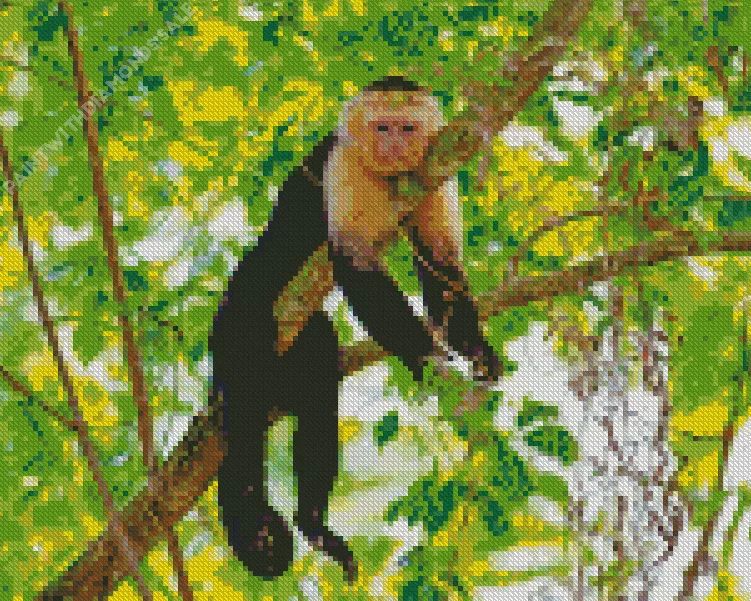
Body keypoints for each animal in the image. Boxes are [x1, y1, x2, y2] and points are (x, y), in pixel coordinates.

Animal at [210, 76, 501, 584]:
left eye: (407, 127)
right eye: (381, 126)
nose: (393, 144)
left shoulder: (433, 170)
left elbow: (440, 263)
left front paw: (474, 349)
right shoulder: (341, 162)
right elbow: (354, 262)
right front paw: (428, 360)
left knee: (318, 379)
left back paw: (311, 520)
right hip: (242, 322)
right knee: (245, 412)